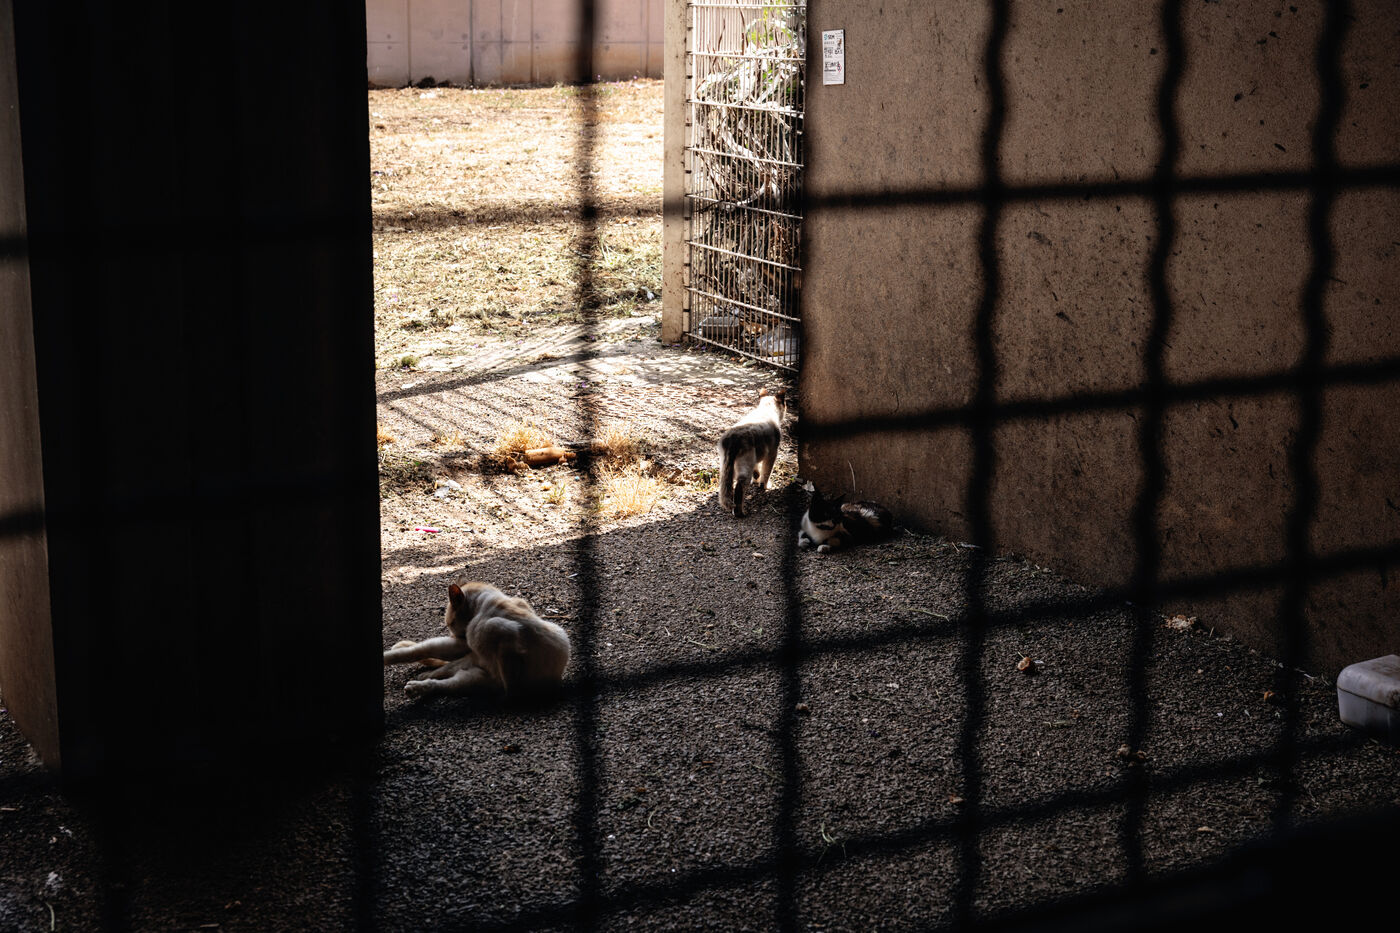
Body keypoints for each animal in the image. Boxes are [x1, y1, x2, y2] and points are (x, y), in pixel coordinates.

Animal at [383, 582, 570, 698]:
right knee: (435, 662)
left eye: (450, 623)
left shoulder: (501, 633)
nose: (452, 634)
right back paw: (420, 678)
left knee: (444, 680)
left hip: (475, 672)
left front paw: (510, 694)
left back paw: (416, 686)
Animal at [717, 388, 786, 518]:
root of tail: (733, 437)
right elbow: (766, 473)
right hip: (746, 464)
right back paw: (740, 513)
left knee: (727, 485)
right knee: (739, 486)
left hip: (726, 465)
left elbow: (757, 470)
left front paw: (756, 479)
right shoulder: (772, 453)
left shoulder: (758, 455)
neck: (766, 409)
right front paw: (764, 486)